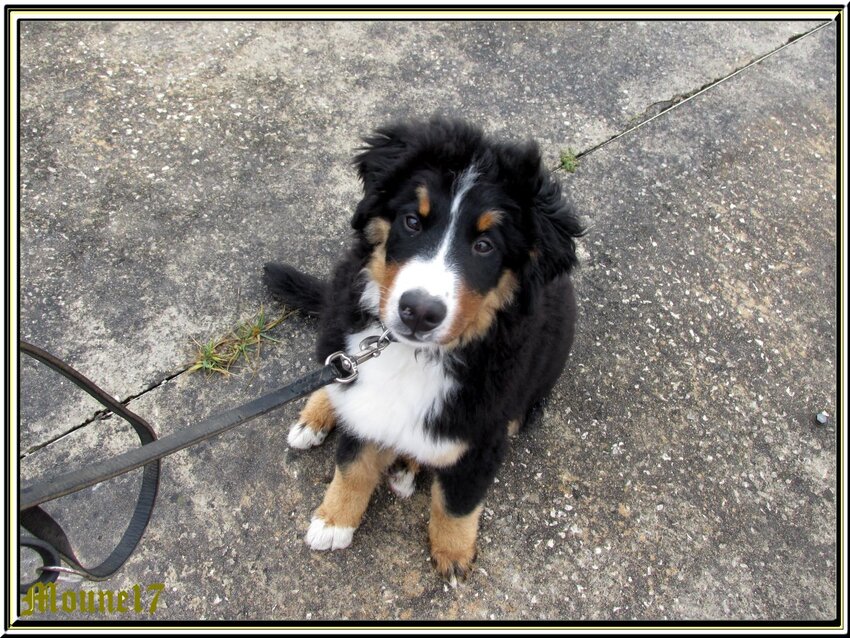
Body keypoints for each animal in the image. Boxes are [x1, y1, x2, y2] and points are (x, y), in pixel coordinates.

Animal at [264, 116, 584, 584]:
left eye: (485, 245)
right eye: (413, 221)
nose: (418, 312)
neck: (410, 355)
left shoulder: (480, 436)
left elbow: (457, 502)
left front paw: (452, 554)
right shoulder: (364, 397)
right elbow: (353, 464)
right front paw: (334, 520)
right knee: (336, 372)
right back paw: (319, 415)